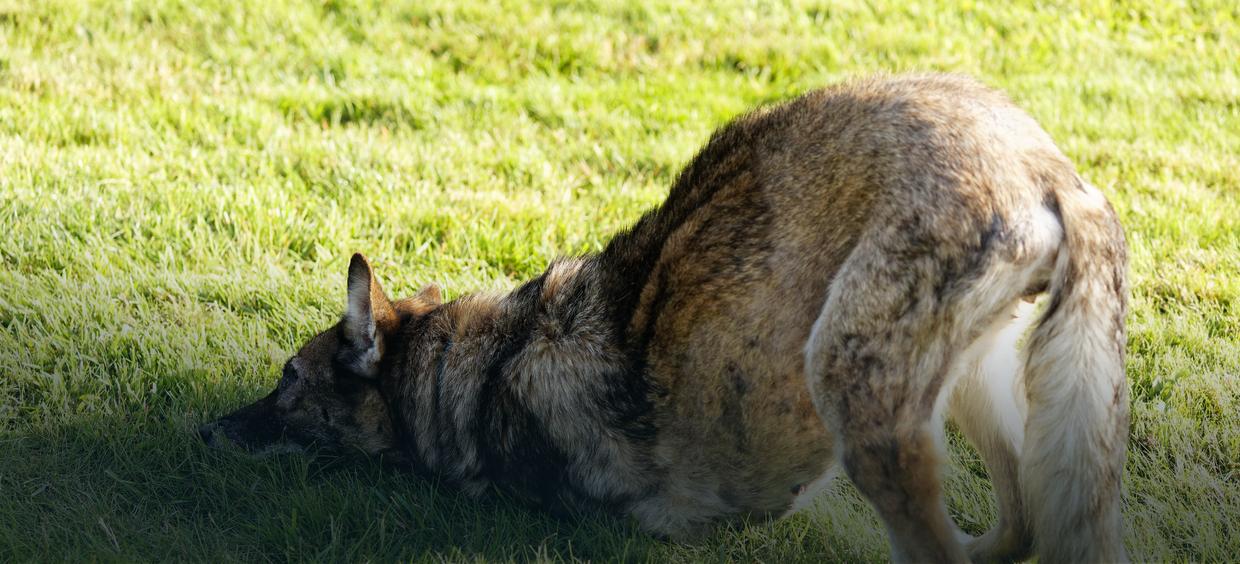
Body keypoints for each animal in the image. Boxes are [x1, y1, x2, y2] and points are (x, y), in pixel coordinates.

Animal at [203, 74, 1135, 564]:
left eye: (288, 379)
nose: (205, 431)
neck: (479, 362)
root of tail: (1050, 170)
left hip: (854, 383)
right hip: (978, 384)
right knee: (1017, 527)